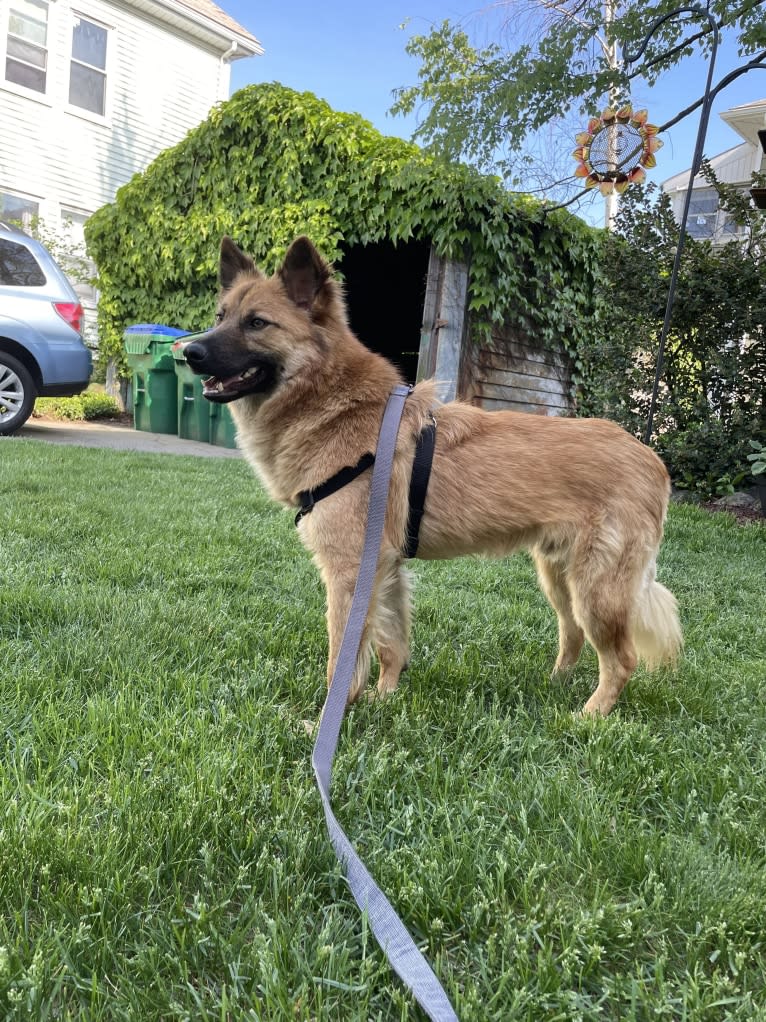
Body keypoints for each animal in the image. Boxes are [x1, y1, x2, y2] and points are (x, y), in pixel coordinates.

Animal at [184, 235, 682, 715]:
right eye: (221, 316)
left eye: (257, 323)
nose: (189, 351)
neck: (335, 403)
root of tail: (652, 459)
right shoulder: (385, 567)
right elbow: (392, 643)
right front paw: (384, 696)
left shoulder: (349, 570)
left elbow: (341, 657)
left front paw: (329, 716)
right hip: (559, 578)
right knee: (573, 635)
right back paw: (555, 686)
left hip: (595, 589)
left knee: (621, 659)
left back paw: (588, 717)